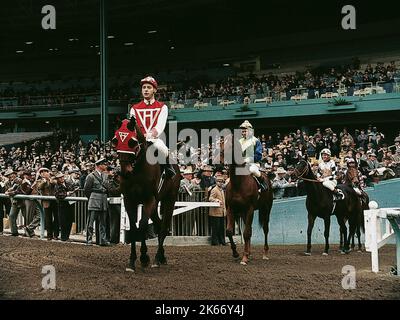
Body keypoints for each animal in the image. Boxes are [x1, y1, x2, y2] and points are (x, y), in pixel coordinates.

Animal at [112, 117, 181, 272]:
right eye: (115, 140)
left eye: (132, 141)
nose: (124, 172)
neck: (137, 170)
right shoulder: (129, 200)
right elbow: (133, 227)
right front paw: (132, 261)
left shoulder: (149, 200)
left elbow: (142, 224)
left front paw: (144, 257)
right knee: (159, 225)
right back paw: (162, 257)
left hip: (169, 200)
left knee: (164, 227)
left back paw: (156, 259)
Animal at [223, 134, 274, 264]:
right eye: (222, 143)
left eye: (231, 144)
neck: (238, 183)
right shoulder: (231, 208)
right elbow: (229, 231)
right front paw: (236, 253)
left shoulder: (250, 208)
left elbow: (246, 233)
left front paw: (244, 257)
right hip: (243, 213)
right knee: (249, 229)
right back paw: (249, 253)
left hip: (266, 209)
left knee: (265, 229)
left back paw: (265, 253)